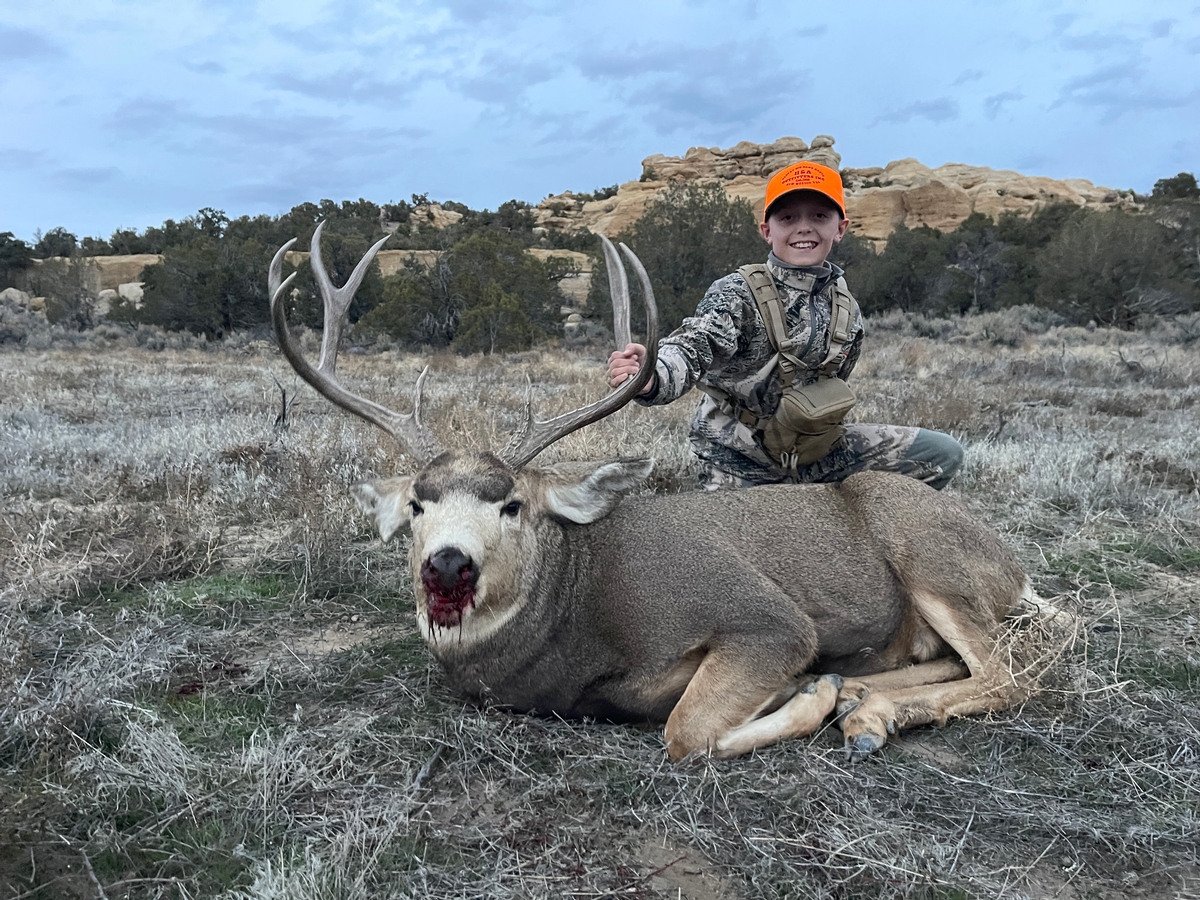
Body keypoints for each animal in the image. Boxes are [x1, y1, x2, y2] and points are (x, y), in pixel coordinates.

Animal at [270, 224, 1051, 763]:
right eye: (416, 505)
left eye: (512, 505)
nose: (448, 564)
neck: (580, 617)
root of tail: (1014, 566)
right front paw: (833, 690)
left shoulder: (766, 619)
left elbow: (685, 732)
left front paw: (818, 691)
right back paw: (866, 702)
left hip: (925, 549)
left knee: (1017, 672)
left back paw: (858, 707)